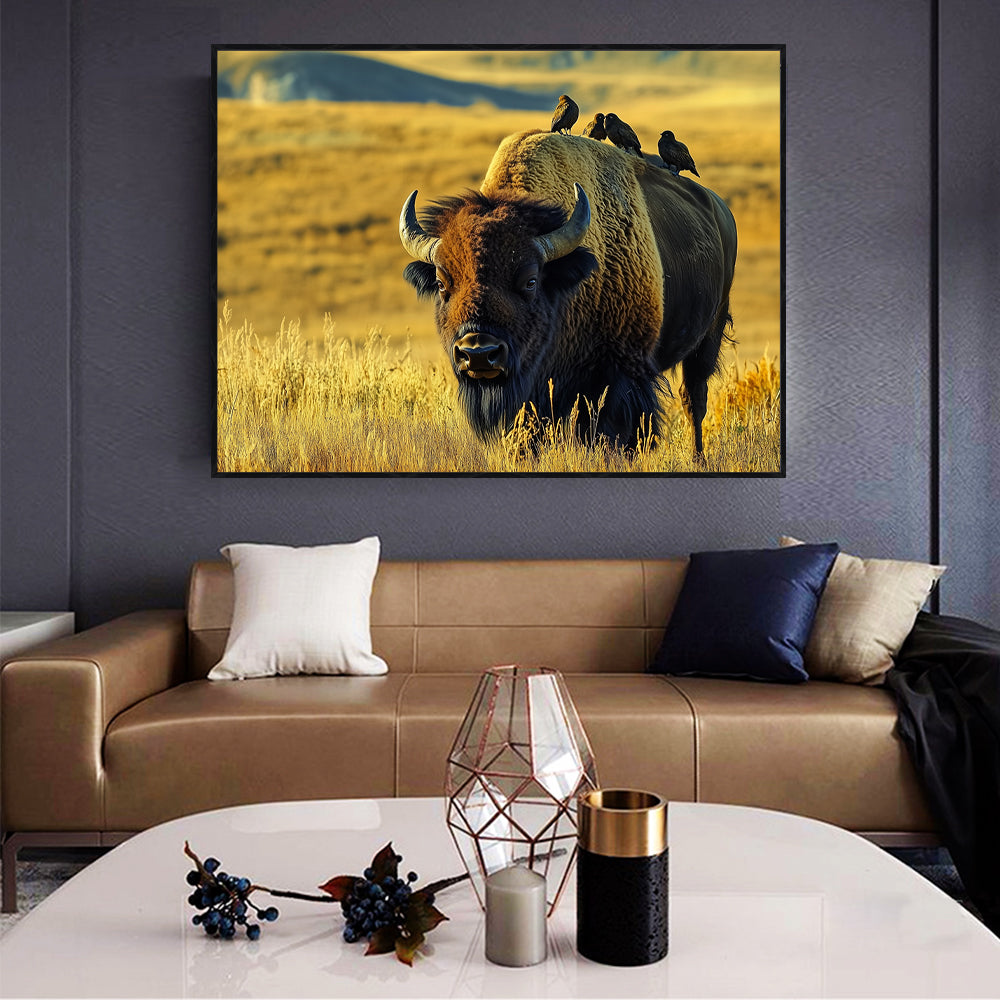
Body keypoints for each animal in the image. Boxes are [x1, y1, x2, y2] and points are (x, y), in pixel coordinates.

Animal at [399, 130, 737, 453]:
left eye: (531, 280)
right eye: (442, 283)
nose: (478, 354)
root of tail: (720, 210)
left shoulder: (618, 375)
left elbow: (610, 433)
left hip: (707, 339)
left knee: (694, 399)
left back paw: (697, 457)